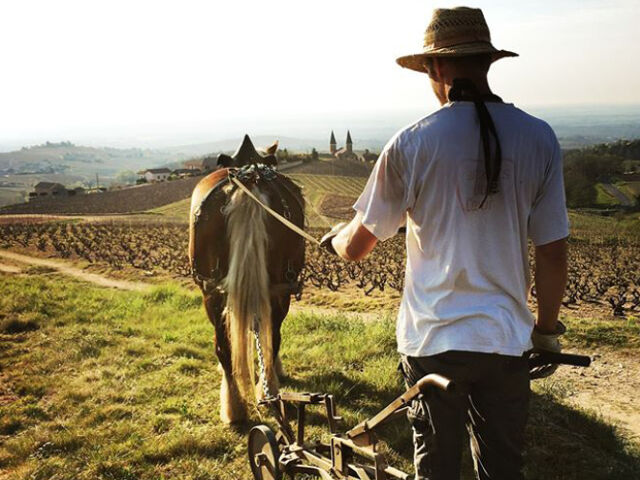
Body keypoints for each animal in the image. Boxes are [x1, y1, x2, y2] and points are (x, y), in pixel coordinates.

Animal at [188, 136, 304, 424]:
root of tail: (249, 180)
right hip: (277, 290)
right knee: (269, 338)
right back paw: (264, 389)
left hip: (212, 291)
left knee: (226, 346)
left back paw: (235, 406)